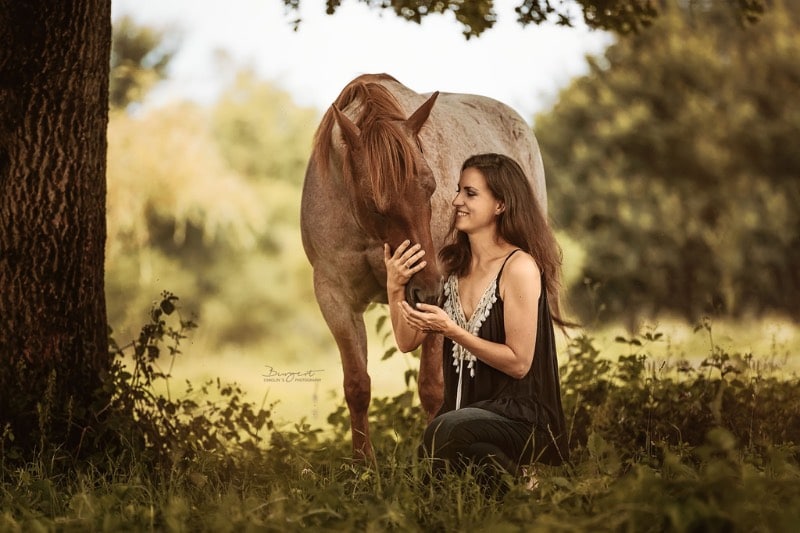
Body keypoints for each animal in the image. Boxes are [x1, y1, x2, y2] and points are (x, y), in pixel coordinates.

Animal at [302, 72, 552, 458]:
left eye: (431, 187)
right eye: (375, 202)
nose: (428, 290)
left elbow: (433, 389)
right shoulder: (335, 297)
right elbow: (357, 386)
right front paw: (363, 466)